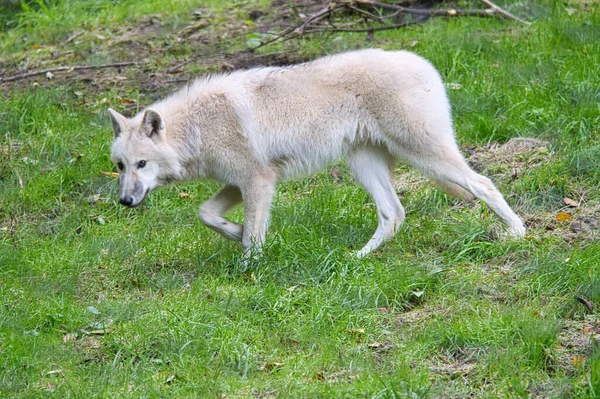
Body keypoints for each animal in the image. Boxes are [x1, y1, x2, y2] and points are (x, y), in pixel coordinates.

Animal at [109, 49, 524, 256]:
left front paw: (249, 271)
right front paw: (235, 231)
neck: (198, 128)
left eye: (142, 164)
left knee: (483, 183)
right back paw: (358, 258)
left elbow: (253, 239)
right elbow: (207, 214)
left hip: (423, 154)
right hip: (364, 165)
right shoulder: (242, 183)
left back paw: (518, 233)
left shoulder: (258, 181)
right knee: (394, 214)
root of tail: (425, 63)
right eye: (120, 166)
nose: (125, 201)